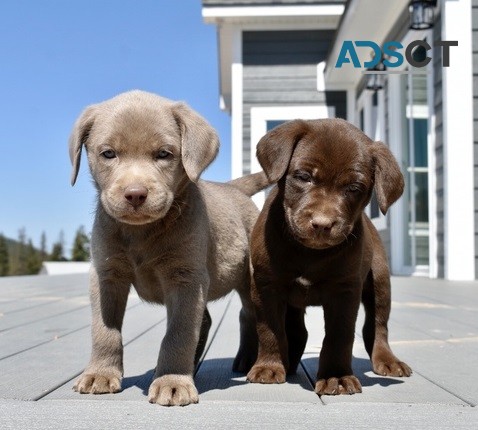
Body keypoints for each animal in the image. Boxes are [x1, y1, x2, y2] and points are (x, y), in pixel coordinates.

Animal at [69, 90, 268, 406]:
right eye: (108, 154)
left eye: (164, 154)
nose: (135, 194)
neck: (141, 233)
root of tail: (234, 188)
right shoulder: (106, 275)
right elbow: (104, 330)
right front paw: (100, 374)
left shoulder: (186, 279)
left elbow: (178, 333)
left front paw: (172, 381)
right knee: (208, 320)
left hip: (248, 278)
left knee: (247, 314)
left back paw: (246, 359)